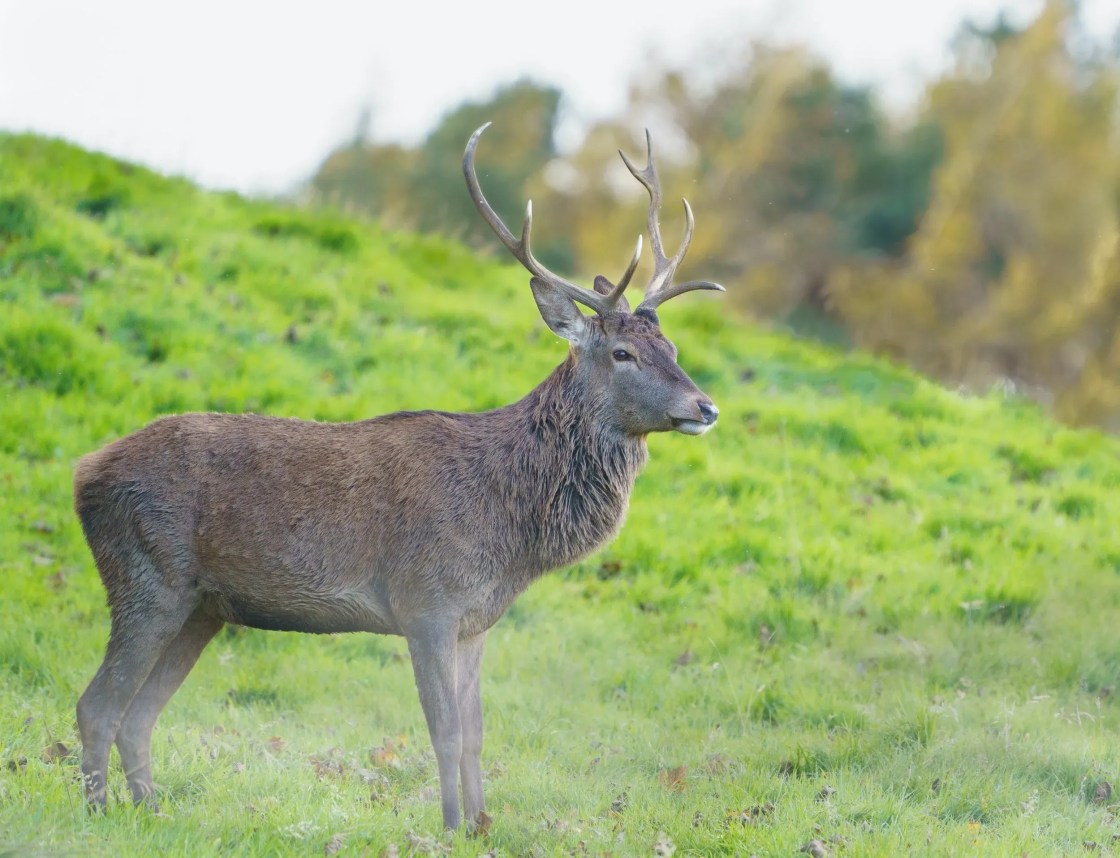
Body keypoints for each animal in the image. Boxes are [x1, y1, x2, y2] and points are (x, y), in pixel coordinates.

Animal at [73, 122, 723, 831]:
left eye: (674, 349)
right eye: (622, 352)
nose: (705, 407)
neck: (512, 534)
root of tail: (83, 473)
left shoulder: (475, 620)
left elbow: (476, 733)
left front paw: (482, 827)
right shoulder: (425, 603)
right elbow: (442, 730)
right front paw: (449, 826)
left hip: (203, 606)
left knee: (138, 715)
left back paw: (153, 814)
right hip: (147, 577)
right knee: (97, 705)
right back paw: (99, 815)